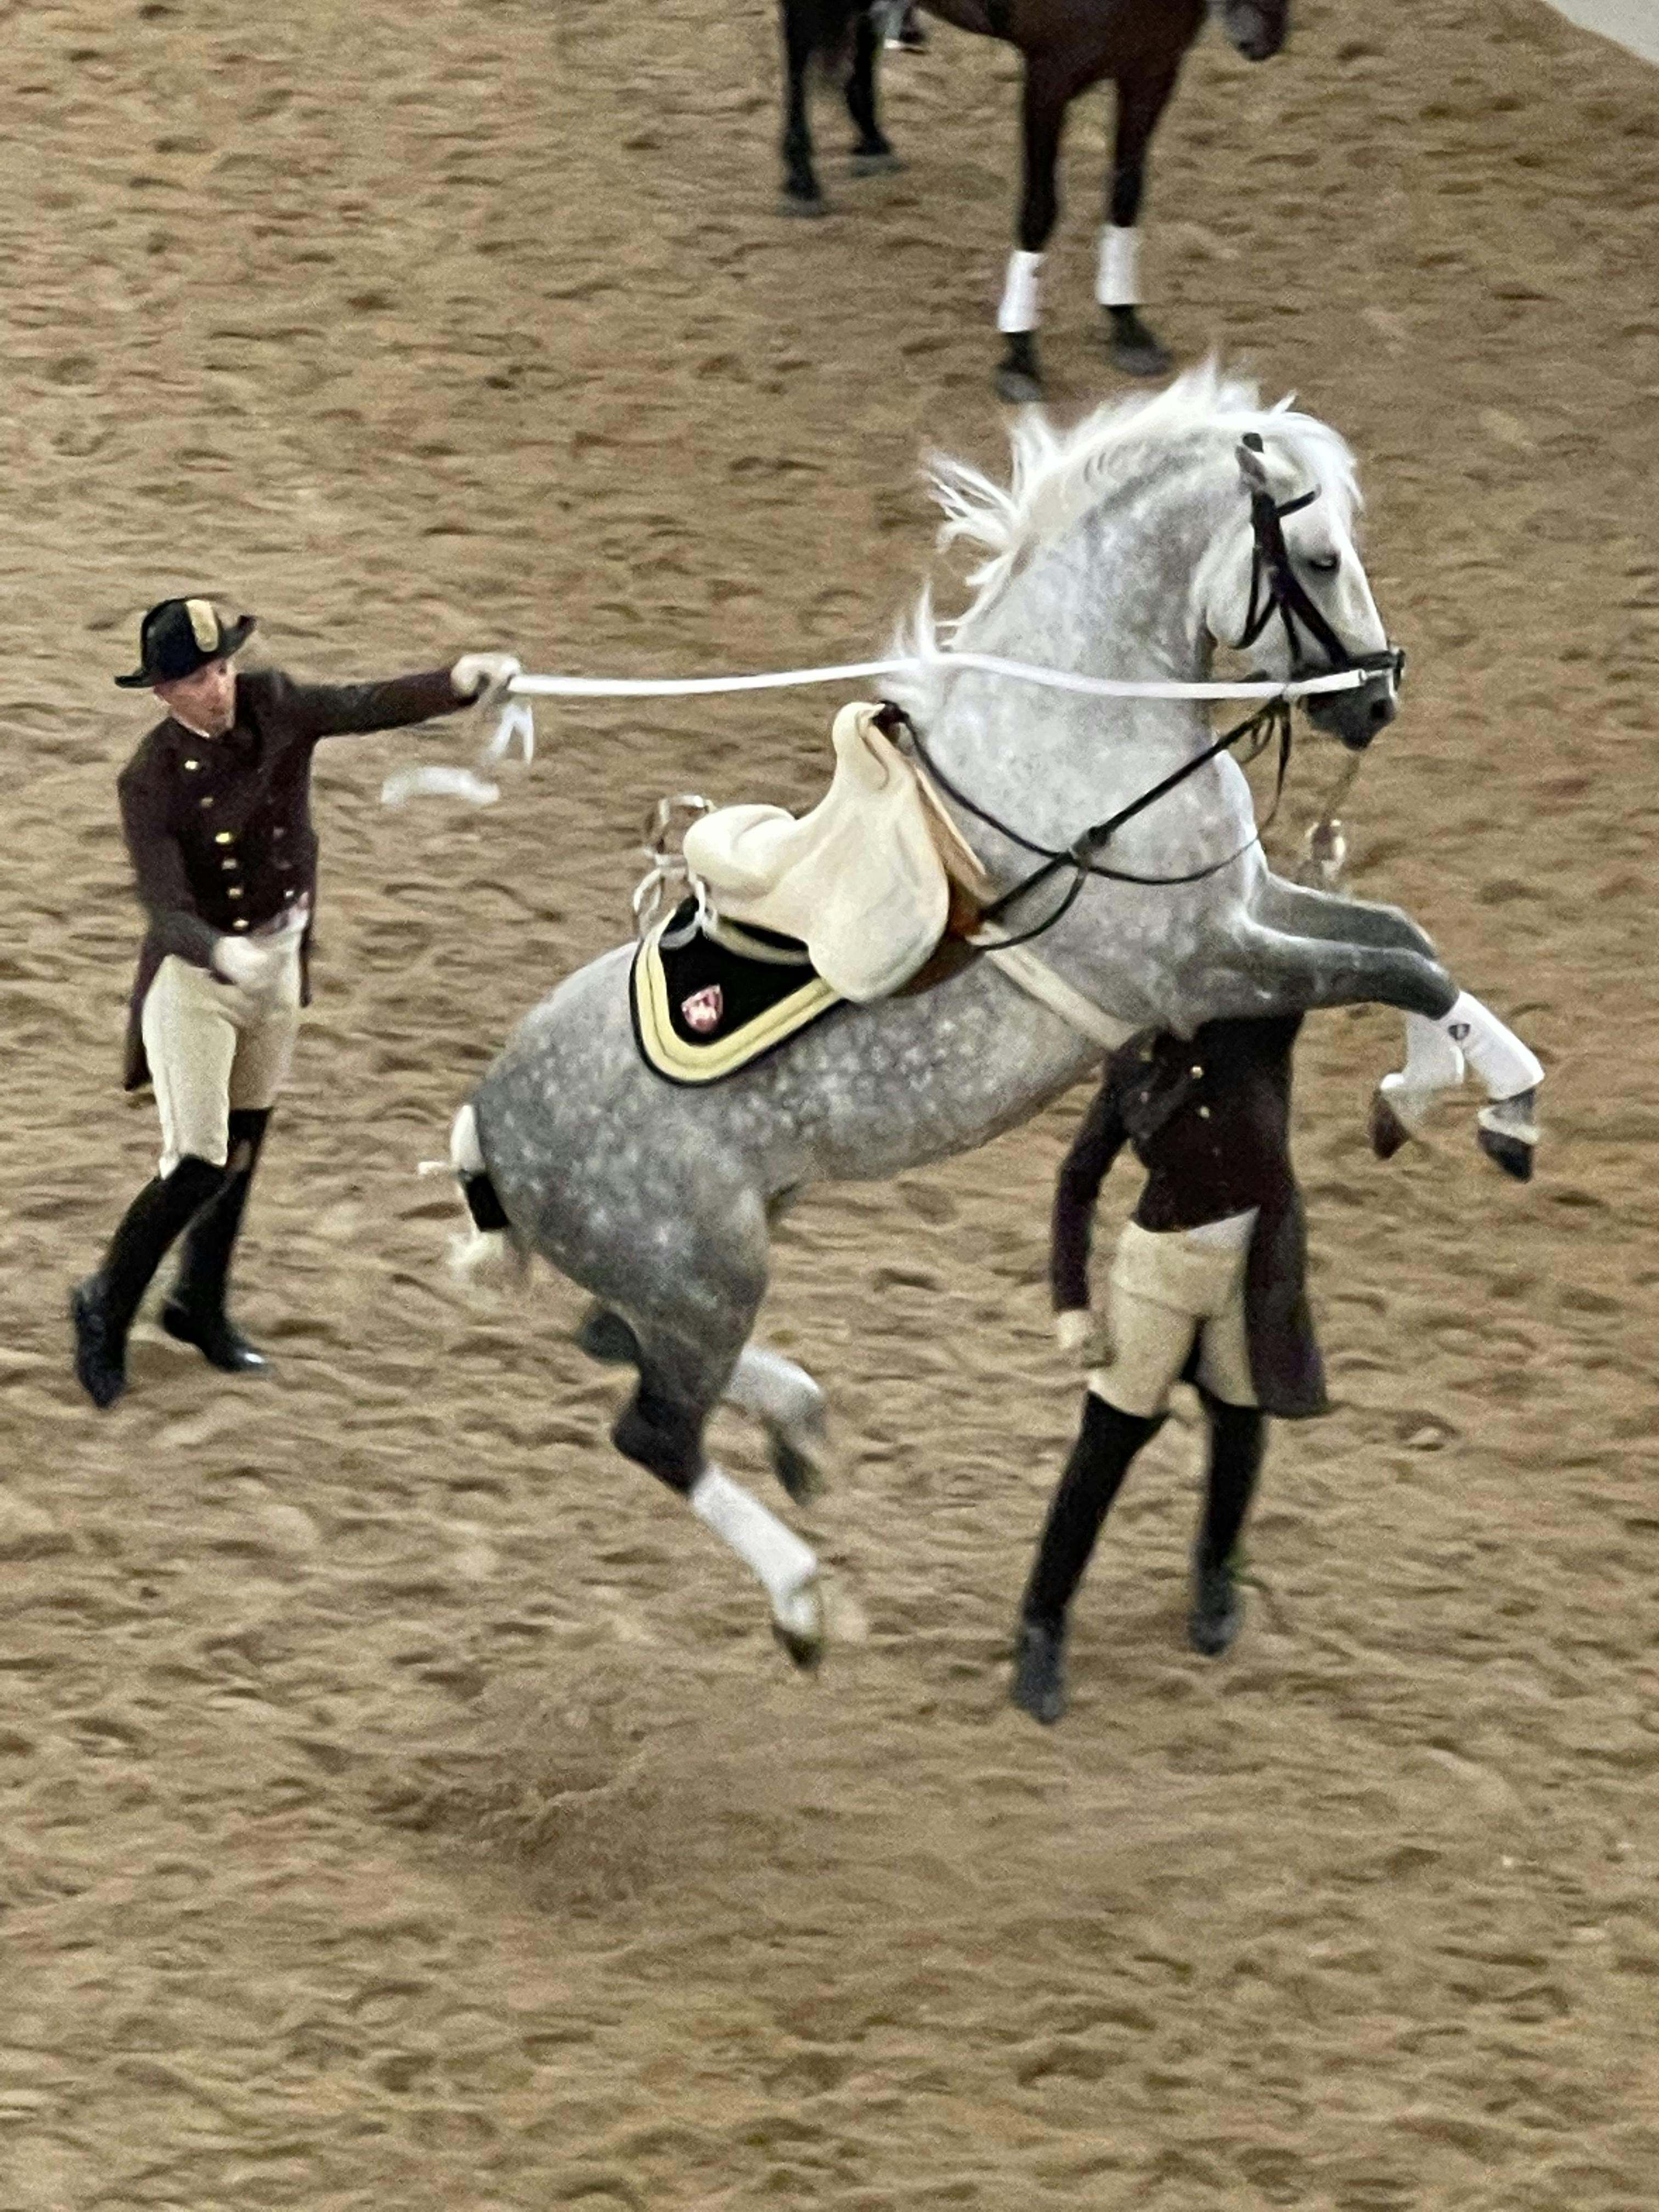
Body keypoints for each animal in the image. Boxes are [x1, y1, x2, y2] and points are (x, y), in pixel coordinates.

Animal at [448, 367, 1541, 1670]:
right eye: (1320, 558)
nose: (1375, 698)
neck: (1079, 754)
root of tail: (489, 1127)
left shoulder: (1245, 908)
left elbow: (1406, 940)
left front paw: (1450, 1097)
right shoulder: (1203, 966)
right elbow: (1400, 971)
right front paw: (1475, 1101)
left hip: (704, 1269)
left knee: (616, 1348)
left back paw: (804, 1430)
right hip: (706, 1275)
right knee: (656, 1434)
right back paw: (804, 1597)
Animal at [777, 0, 1288, 397]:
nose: (1265, 40)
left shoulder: (1153, 71)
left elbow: (1126, 193)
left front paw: (1127, 326)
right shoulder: (1049, 78)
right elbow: (1040, 209)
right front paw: (1019, 353)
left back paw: (872, 140)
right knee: (798, 48)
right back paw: (802, 179)